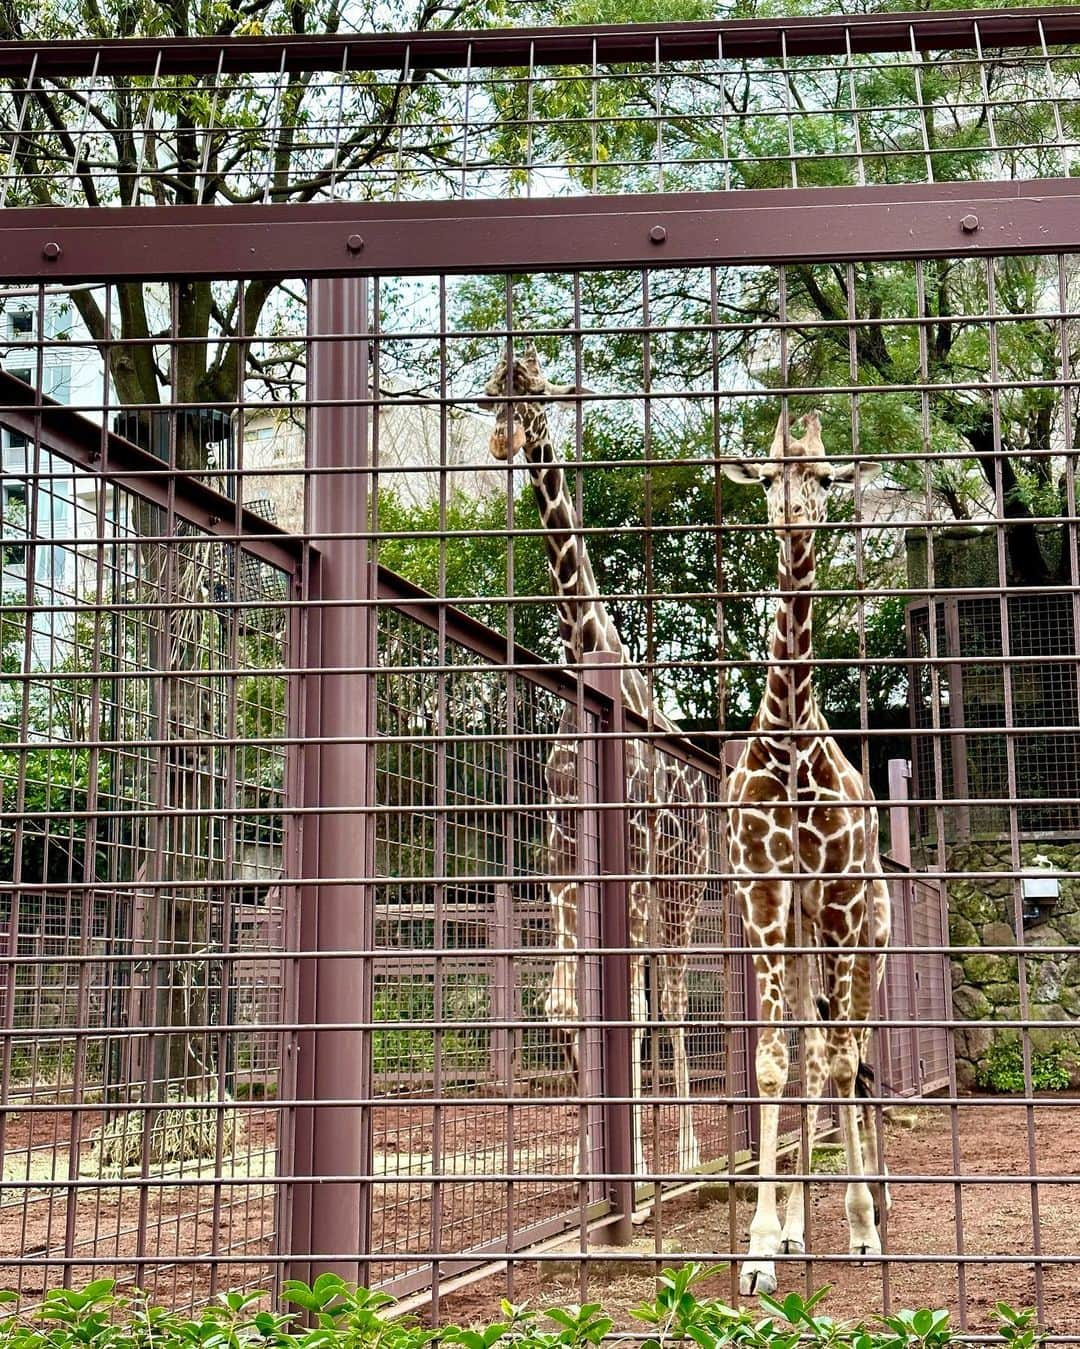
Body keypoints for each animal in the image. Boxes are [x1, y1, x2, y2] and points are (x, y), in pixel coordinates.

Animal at [485, 342, 706, 1176]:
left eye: (535, 390)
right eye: (491, 392)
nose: (504, 441)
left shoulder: (631, 856)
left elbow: (634, 1011)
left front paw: (636, 1164)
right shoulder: (559, 854)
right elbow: (565, 1005)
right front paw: (595, 1162)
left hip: (681, 883)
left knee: (671, 999)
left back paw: (686, 1150)